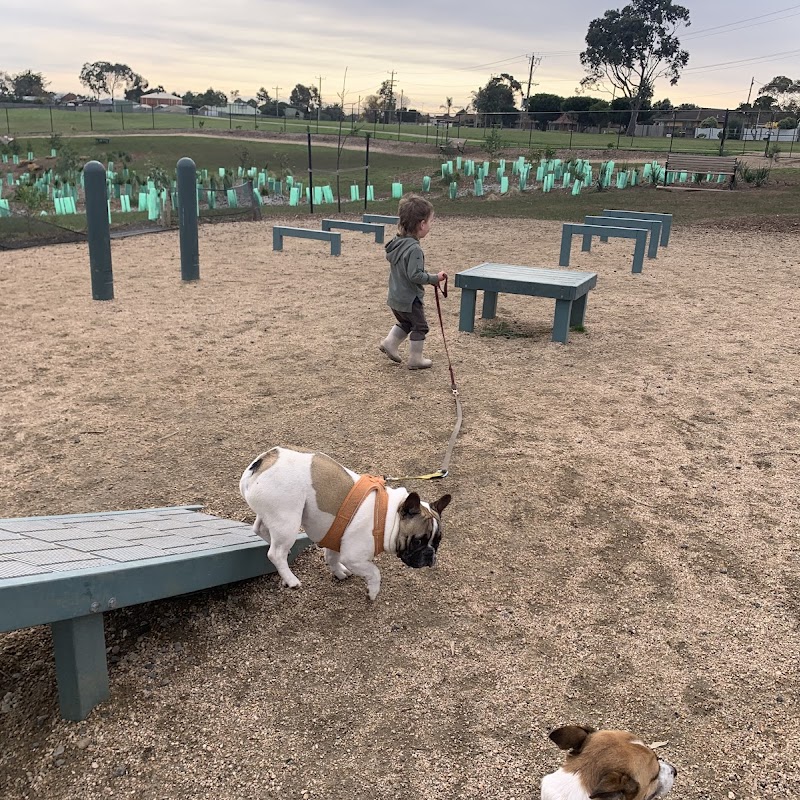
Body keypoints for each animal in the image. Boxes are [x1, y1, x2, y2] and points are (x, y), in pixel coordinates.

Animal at [238, 444, 450, 600]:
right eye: (418, 540)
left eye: (437, 541)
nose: (430, 555)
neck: (387, 516)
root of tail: (261, 462)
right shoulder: (353, 556)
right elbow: (374, 571)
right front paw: (373, 591)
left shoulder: (335, 538)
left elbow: (332, 558)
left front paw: (339, 573)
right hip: (288, 520)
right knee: (275, 553)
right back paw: (291, 579)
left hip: (273, 515)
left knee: (259, 529)